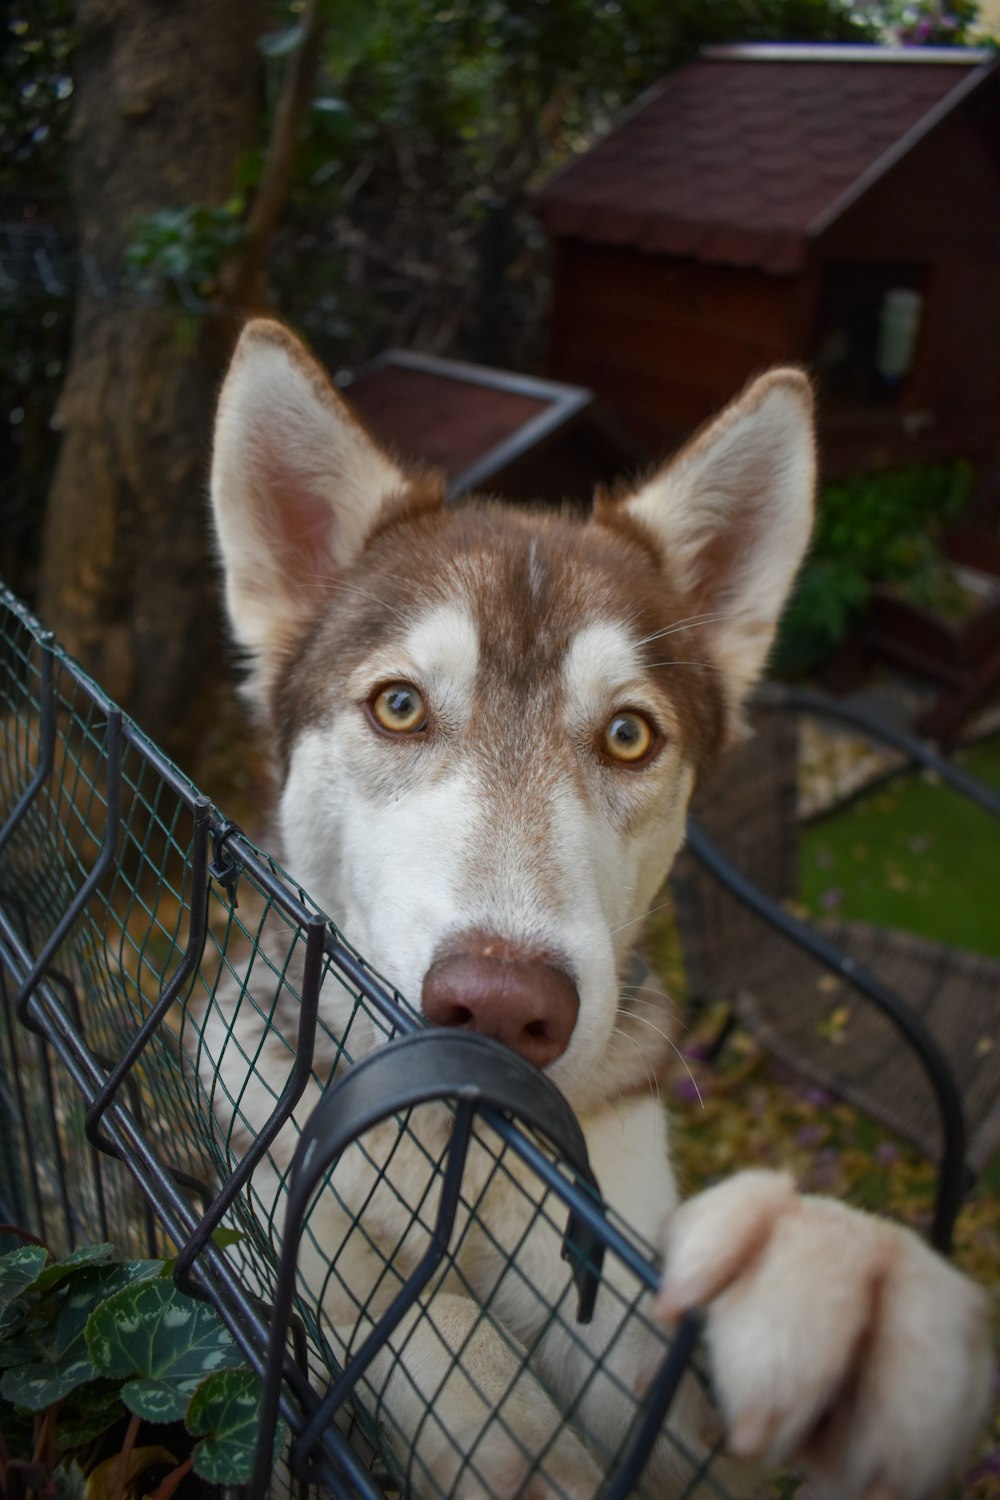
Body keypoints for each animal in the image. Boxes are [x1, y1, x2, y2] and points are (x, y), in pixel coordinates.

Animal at [205, 319, 995, 1500]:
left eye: (629, 734)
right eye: (399, 706)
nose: (497, 1005)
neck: (462, 1137)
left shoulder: (599, 1253)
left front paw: (826, 1299)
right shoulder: (285, 1200)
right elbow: (406, 1311)